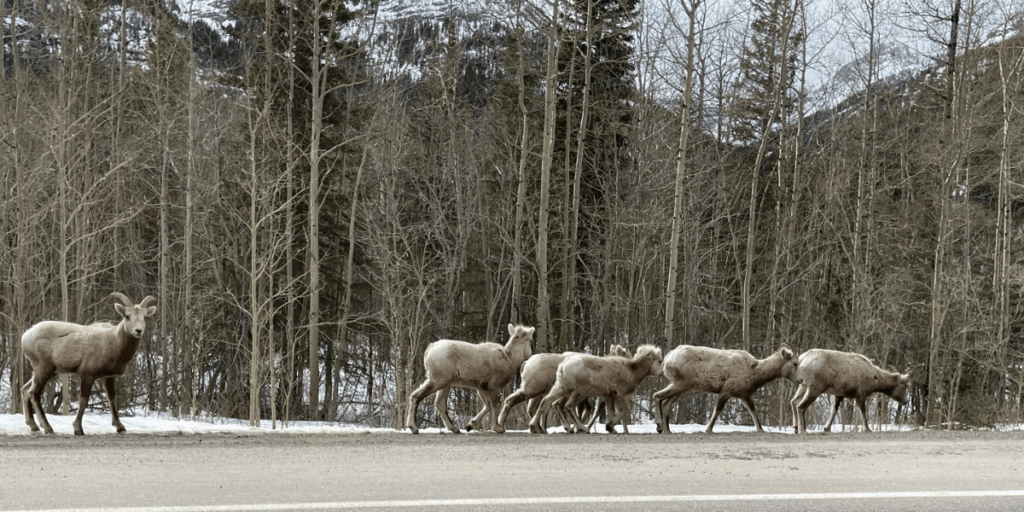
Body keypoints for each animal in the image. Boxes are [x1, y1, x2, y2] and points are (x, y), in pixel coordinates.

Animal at [21, 293, 157, 436]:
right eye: (127, 315)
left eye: (145, 317)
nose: (138, 330)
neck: (114, 344)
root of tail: (25, 337)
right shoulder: (87, 374)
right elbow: (83, 400)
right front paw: (78, 429)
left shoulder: (108, 376)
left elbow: (112, 398)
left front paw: (120, 427)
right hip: (43, 368)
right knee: (33, 393)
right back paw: (47, 428)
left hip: (49, 371)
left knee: (25, 389)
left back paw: (33, 426)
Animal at [406, 323, 535, 434]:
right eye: (530, 341)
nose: (530, 355)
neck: (511, 360)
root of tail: (428, 351)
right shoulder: (493, 386)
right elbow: (495, 405)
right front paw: (498, 428)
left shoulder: (482, 387)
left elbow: (487, 406)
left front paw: (469, 425)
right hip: (438, 379)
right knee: (415, 396)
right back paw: (413, 428)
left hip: (446, 383)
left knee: (439, 403)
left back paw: (454, 428)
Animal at [495, 344, 629, 433]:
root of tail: (525, 363)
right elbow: (589, 410)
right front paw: (579, 427)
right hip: (532, 387)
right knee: (512, 400)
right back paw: (501, 425)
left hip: (539, 390)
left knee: (533, 408)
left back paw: (539, 429)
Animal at [528, 344, 664, 434]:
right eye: (659, 361)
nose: (662, 373)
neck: (632, 371)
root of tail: (563, 366)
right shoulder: (620, 396)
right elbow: (625, 410)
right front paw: (609, 427)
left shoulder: (609, 397)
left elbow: (610, 412)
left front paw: (612, 429)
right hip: (579, 392)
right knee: (568, 406)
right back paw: (581, 428)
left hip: (562, 388)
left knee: (548, 402)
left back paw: (534, 425)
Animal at [653, 343, 797, 434]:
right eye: (795, 363)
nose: (800, 379)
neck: (755, 376)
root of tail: (666, 360)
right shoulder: (726, 390)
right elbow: (717, 410)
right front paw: (708, 429)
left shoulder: (743, 394)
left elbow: (753, 410)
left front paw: (760, 429)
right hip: (680, 384)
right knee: (657, 395)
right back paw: (659, 427)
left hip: (683, 386)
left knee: (666, 403)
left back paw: (667, 430)